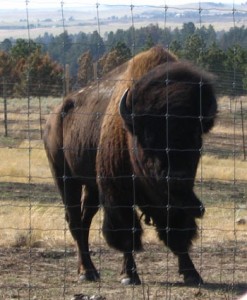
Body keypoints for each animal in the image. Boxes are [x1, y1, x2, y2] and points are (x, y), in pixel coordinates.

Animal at [44, 46, 216, 286]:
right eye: (150, 137)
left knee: (85, 220)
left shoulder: (174, 199)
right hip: (65, 178)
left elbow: (177, 231)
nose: (176, 176)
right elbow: (127, 232)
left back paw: (88, 270)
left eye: (194, 136)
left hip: (92, 186)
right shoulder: (118, 192)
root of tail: (54, 116)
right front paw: (129, 274)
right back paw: (87, 271)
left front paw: (192, 273)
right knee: (75, 221)